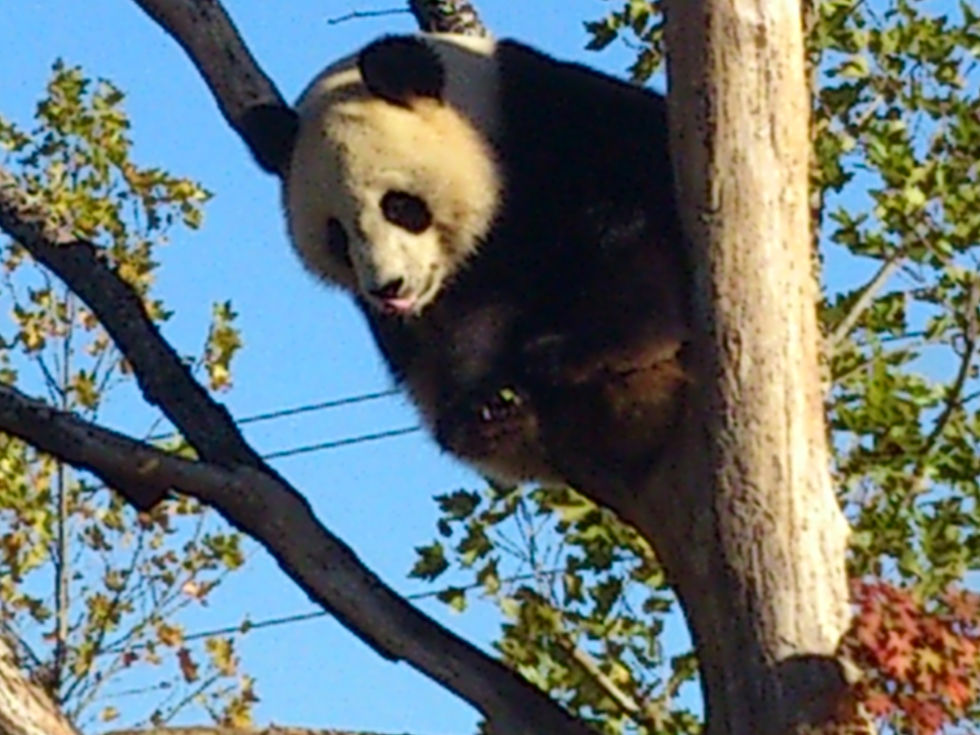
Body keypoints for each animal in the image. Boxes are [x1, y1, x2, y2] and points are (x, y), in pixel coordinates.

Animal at [267, 33, 690, 490]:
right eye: (337, 234)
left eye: (398, 206)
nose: (389, 288)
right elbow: (452, 341)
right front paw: (482, 407)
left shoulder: (558, 119)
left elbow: (641, 212)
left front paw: (577, 348)